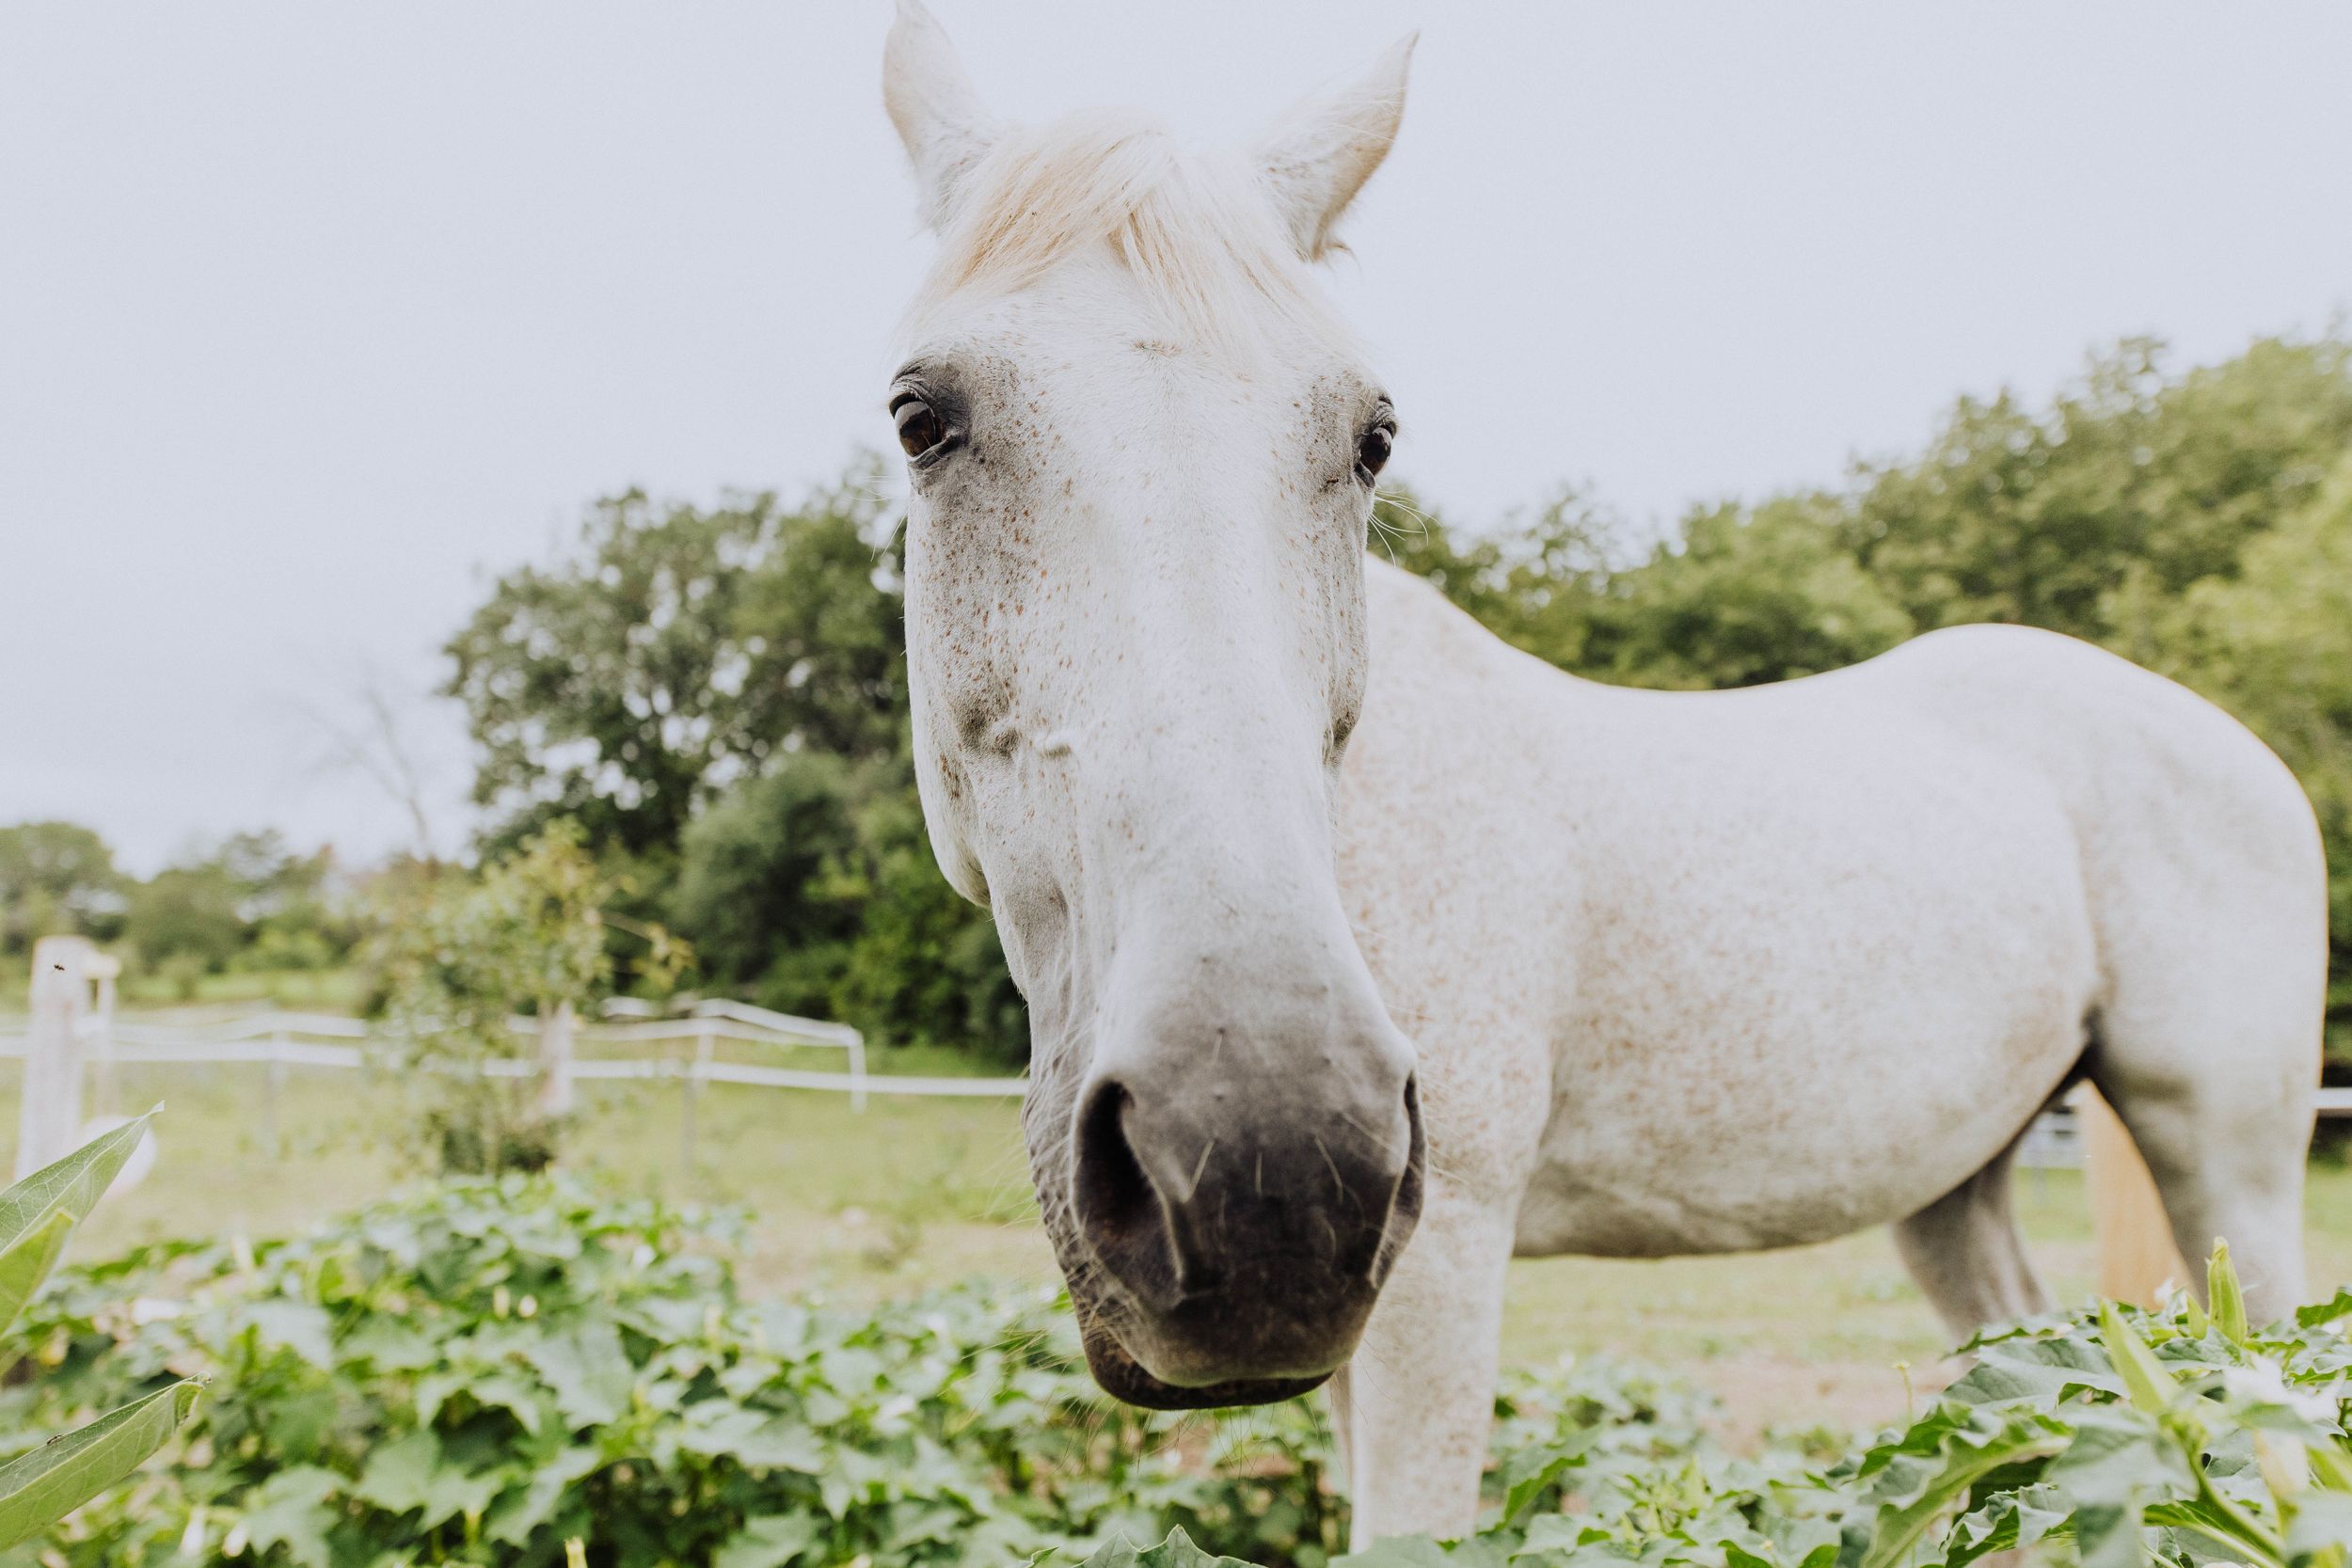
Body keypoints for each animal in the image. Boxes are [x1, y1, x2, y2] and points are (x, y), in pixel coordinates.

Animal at [876, 2, 2326, 1541]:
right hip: (1956, 1191)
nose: (1259, 1153)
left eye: (1372, 434)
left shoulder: (1446, 1255)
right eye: (921, 417)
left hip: (2228, 1168)